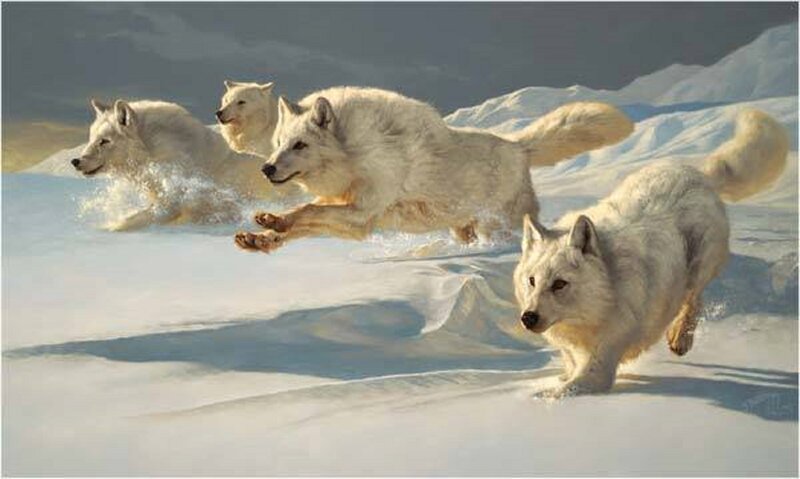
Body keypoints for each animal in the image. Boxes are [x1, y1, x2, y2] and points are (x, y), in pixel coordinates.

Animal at [233, 86, 633, 253]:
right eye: (279, 143)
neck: (356, 152)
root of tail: (518, 147)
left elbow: (305, 211)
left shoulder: (362, 213)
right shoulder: (352, 214)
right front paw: (262, 235)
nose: (267, 168)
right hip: (462, 228)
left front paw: (273, 222)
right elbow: (301, 222)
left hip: (496, 225)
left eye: (300, 145)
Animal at [513, 109, 788, 397]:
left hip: (699, 264)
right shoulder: (572, 352)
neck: (606, 296)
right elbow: (564, 374)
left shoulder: (601, 366)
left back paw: (679, 338)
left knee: (694, 298)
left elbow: (559, 392)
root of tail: (698, 173)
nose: (528, 317)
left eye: (560, 284)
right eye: (531, 281)